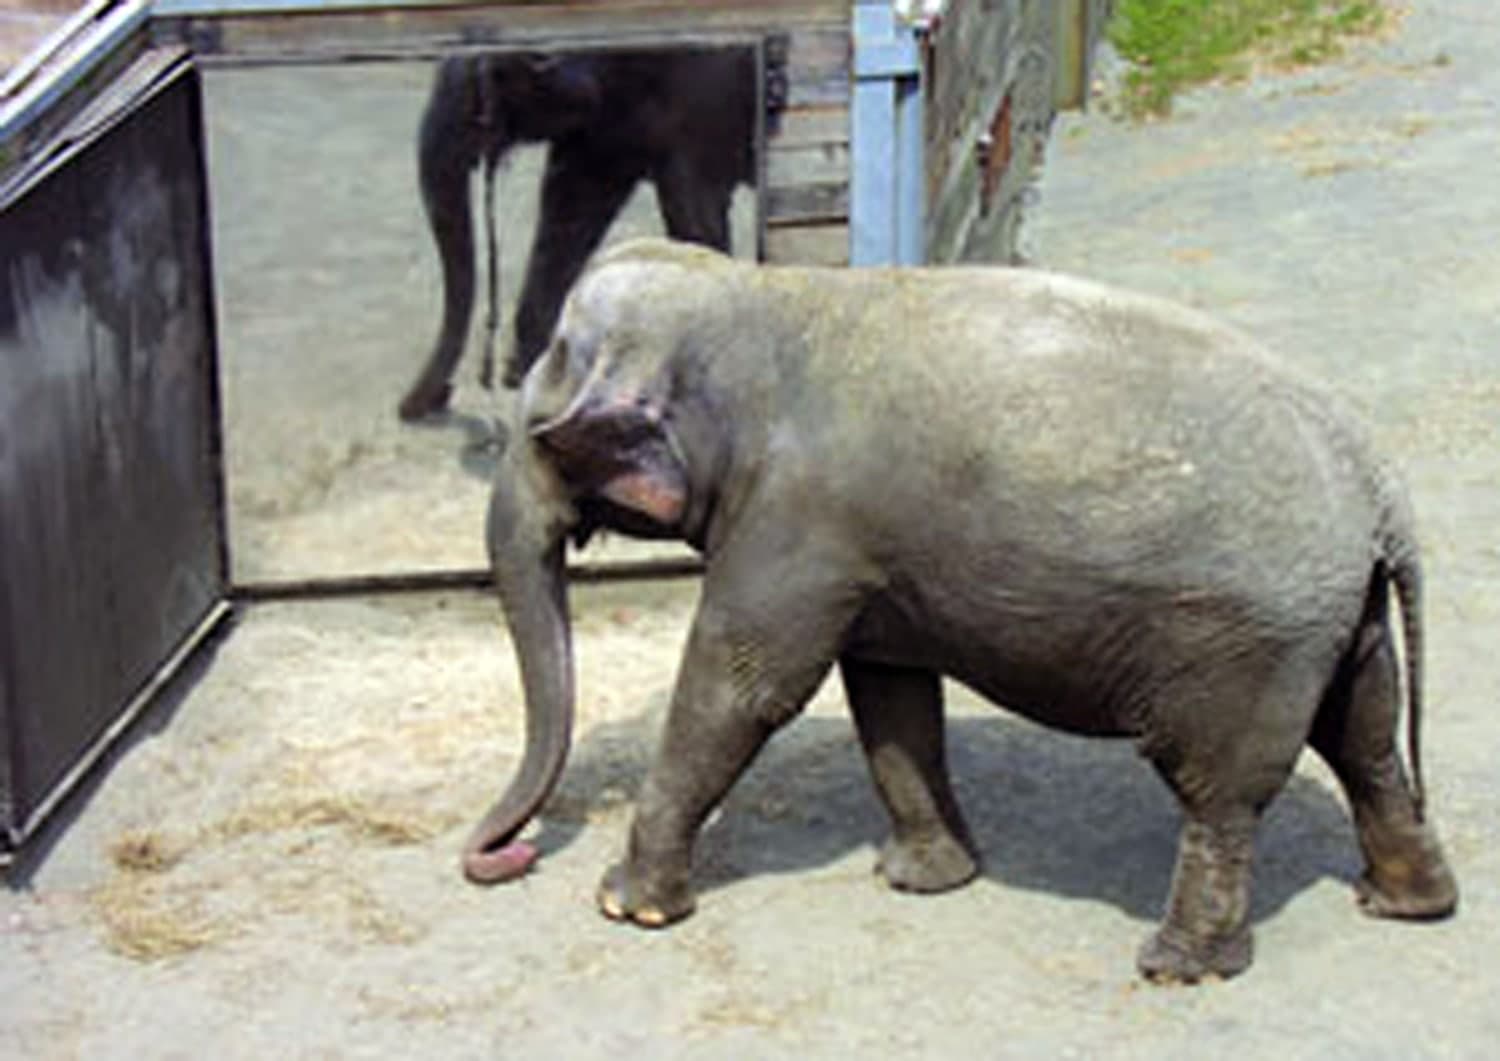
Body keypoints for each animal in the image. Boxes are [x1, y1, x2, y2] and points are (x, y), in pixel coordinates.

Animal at [398, 47, 761, 421]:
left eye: (485, 89)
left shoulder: (703, 101)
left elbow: (694, 213)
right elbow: (572, 202)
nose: (438, 397)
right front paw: (528, 371)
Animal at [462, 238, 1458, 983]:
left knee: (1221, 787)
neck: (766, 292)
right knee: (1366, 742)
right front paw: (925, 881)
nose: (501, 858)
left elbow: (744, 686)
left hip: (1248, 641)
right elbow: (890, 690)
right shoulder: (866, 548)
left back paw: (1177, 965)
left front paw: (626, 904)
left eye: (545, 422)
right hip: (1338, 622)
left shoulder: (797, 523)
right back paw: (1407, 903)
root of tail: (1380, 488)